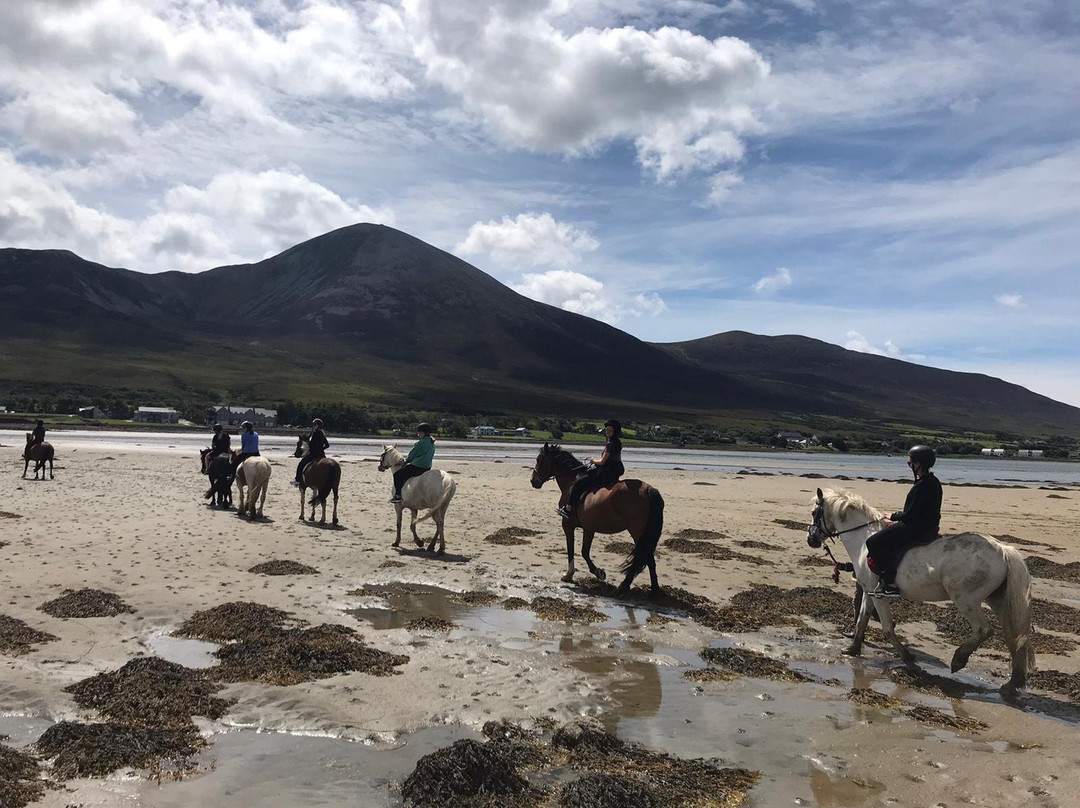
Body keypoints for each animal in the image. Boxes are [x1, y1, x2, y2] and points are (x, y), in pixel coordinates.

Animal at [531, 442, 665, 591]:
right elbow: (584, 551)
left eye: (539, 460)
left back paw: (626, 585)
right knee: (649, 559)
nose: (533, 481)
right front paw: (598, 572)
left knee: (646, 557)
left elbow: (571, 549)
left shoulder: (567, 524)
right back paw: (653, 589)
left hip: (637, 531)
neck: (572, 480)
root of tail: (649, 489)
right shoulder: (589, 527)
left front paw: (568, 574)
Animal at [807, 483, 1032, 695]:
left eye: (814, 512)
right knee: (1014, 639)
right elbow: (862, 620)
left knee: (984, 629)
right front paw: (852, 650)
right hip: (998, 601)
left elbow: (887, 628)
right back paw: (1012, 684)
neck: (863, 539)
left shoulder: (878, 595)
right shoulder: (870, 591)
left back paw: (959, 660)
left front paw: (909, 660)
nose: (811, 540)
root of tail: (1003, 550)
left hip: (965, 600)